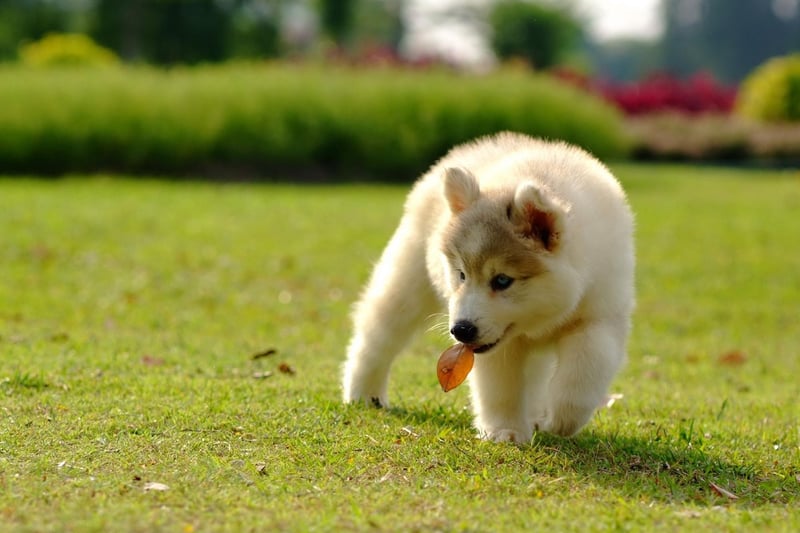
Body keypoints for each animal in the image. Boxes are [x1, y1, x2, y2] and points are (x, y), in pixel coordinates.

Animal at [340, 132, 636, 440]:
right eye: (461, 275)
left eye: (502, 280)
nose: (461, 330)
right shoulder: (501, 345)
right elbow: (502, 387)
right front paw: (505, 431)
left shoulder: (600, 316)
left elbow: (585, 370)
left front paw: (561, 420)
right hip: (407, 283)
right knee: (377, 338)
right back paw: (364, 394)